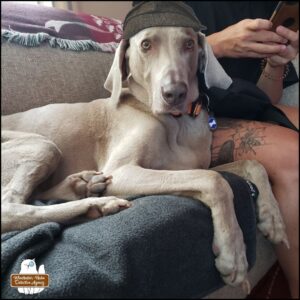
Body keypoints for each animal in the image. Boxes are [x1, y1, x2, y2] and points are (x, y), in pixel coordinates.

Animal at [1, 26, 288, 288]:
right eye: (146, 45)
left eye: (189, 44)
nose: (174, 94)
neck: (179, 123)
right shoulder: (121, 171)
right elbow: (215, 181)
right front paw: (233, 253)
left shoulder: (189, 166)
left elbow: (252, 164)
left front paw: (273, 220)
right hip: (42, 145)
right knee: (10, 208)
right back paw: (96, 204)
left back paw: (84, 186)